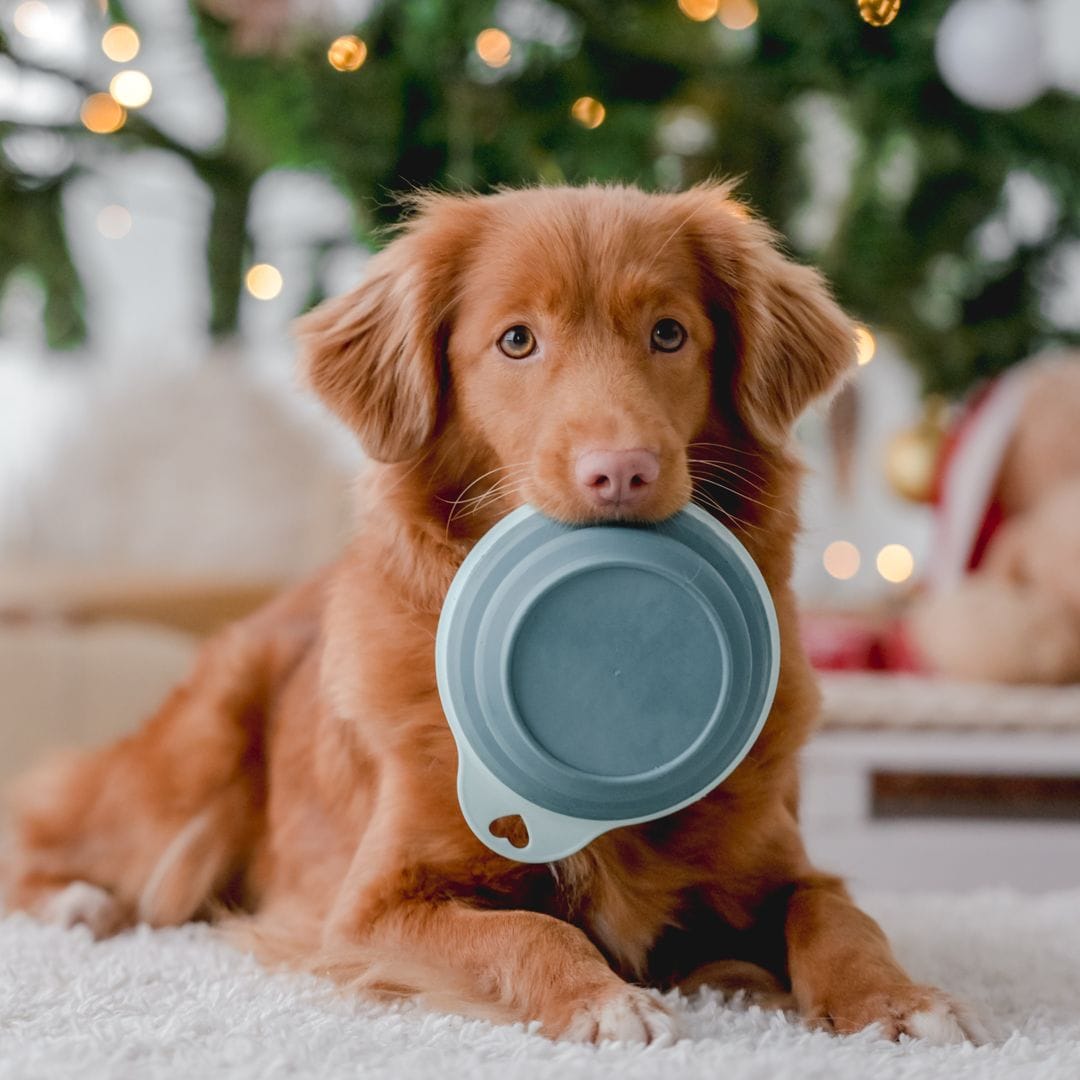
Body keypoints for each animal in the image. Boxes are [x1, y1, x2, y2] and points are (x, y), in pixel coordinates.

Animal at [0, 185, 984, 1045]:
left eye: (670, 333)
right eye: (517, 340)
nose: (621, 471)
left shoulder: (777, 867)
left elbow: (837, 914)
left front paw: (899, 1000)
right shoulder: (370, 910)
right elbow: (528, 930)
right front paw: (604, 1002)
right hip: (194, 764)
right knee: (48, 826)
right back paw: (79, 902)